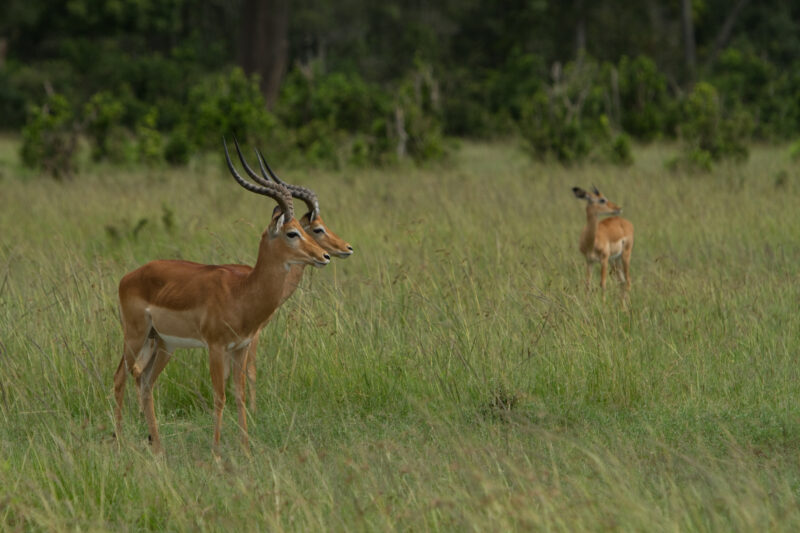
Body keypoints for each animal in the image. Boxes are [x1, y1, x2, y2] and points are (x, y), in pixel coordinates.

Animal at [113, 138, 331, 455]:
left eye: (307, 230)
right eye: (292, 233)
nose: (325, 256)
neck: (241, 293)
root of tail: (129, 276)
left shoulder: (240, 347)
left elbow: (239, 395)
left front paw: (246, 449)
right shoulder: (216, 348)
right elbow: (219, 396)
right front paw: (216, 452)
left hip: (162, 343)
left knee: (145, 383)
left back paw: (158, 447)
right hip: (135, 335)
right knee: (121, 378)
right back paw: (120, 442)